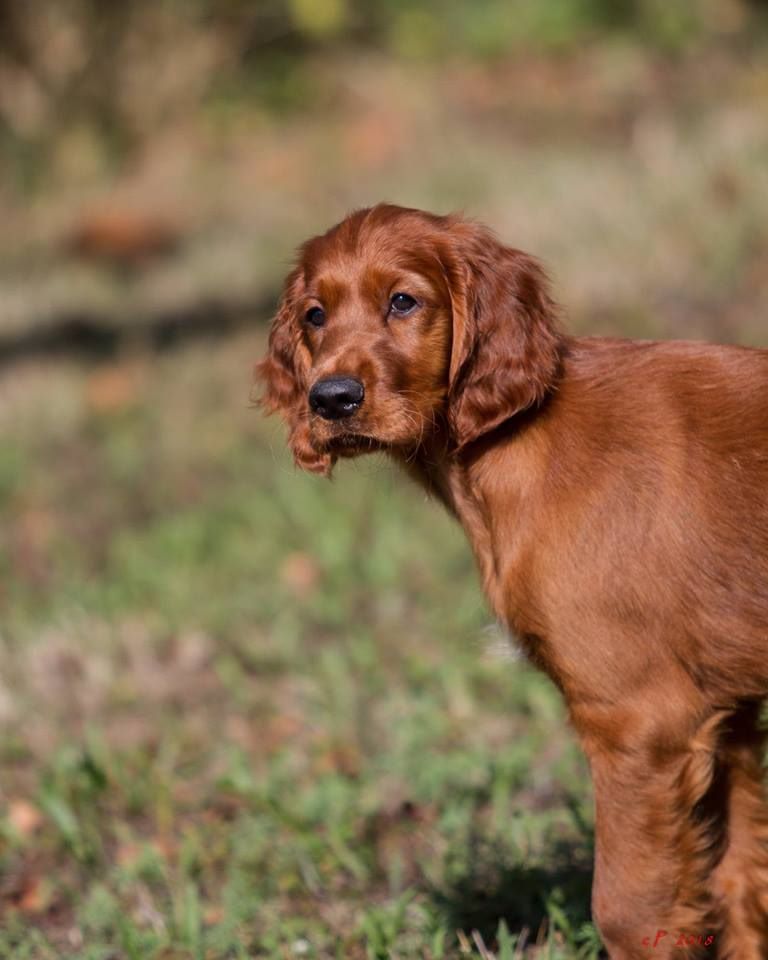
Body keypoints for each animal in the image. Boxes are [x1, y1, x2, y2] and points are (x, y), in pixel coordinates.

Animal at [258, 206, 768, 956]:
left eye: (403, 301)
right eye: (314, 315)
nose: (331, 399)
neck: (520, 440)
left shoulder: (639, 720)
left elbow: (629, 906)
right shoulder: (726, 714)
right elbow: (739, 882)